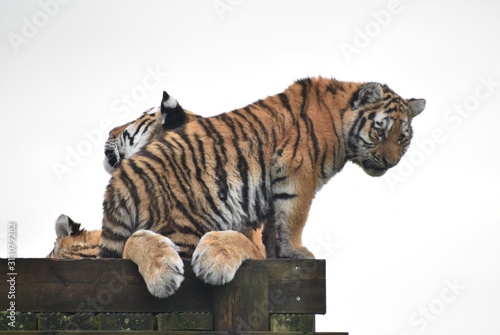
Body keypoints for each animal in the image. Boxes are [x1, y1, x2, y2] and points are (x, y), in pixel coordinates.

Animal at [98, 77, 426, 300]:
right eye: (380, 131)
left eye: (402, 139)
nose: (391, 162)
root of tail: (123, 181)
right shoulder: (297, 172)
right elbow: (294, 216)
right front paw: (297, 252)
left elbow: (274, 228)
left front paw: (281, 252)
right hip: (182, 222)